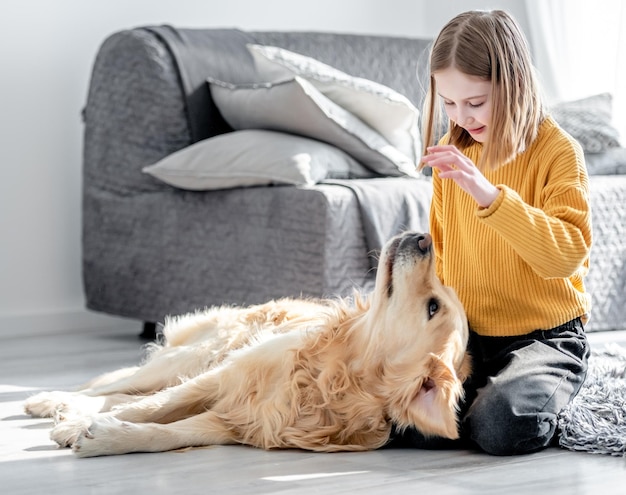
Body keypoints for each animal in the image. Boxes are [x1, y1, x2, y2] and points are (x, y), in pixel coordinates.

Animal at [23, 232, 468, 458]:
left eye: (432, 307)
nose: (424, 236)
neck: (332, 374)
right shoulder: (223, 376)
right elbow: (151, 408)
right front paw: (78, 426)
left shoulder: (237, 421)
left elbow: (166, 432)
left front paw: (108, 437)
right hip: (199, 354)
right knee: (115, 387)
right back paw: (49, 401)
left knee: (123, 392)